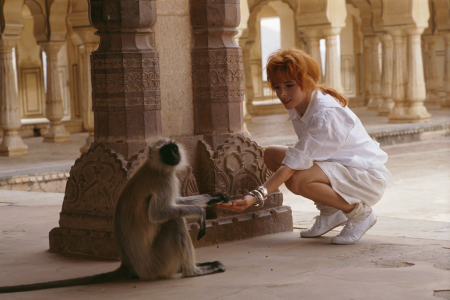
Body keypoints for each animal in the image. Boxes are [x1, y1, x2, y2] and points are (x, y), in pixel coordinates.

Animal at [0, 138, 229, 292]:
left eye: (173, 148)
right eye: (166, 151)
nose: (174, 155)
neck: (154, 166)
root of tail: (128, 265)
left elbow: (177, 203)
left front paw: (213, 197)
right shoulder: (164, 179)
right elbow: (160, 214)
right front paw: (201, 212)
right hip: (158, 263)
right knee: (174, 222)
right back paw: (194, 271)